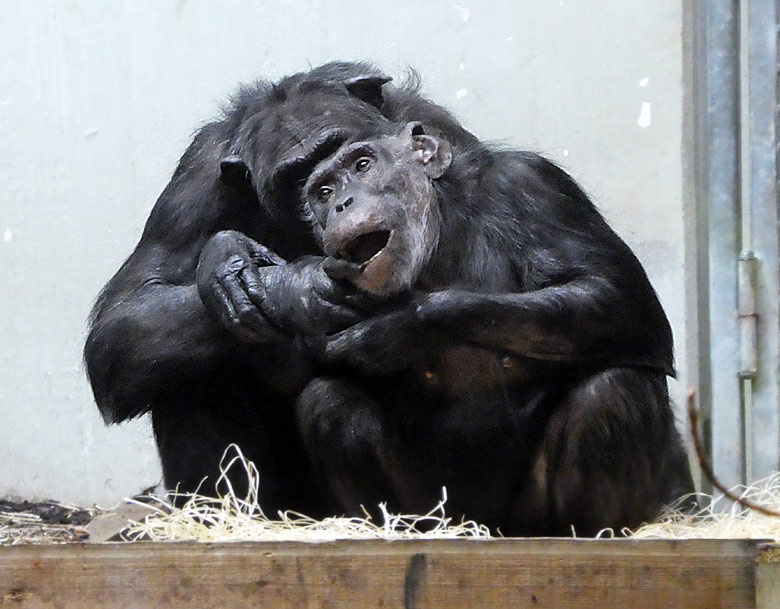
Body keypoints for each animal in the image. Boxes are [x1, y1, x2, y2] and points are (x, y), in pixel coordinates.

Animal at [87, 59, 696, 528]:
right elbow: (125, 316)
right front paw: (282, 283)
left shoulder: (442, 130)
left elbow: (616, 297)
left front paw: (401, 325)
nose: (338, 200)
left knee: (612, 386)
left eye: (347, 152)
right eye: (298, 178)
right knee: (178, 370)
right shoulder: (197, 176)